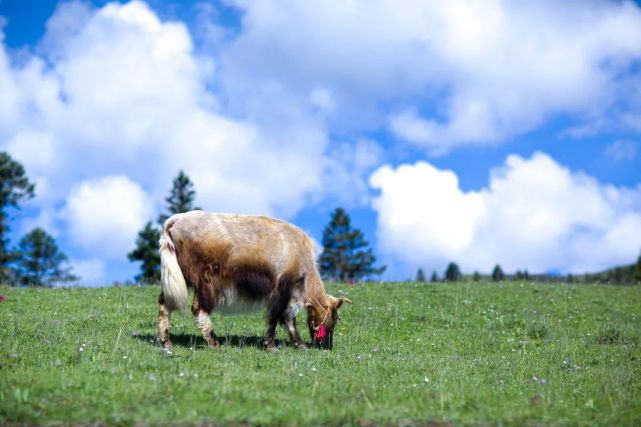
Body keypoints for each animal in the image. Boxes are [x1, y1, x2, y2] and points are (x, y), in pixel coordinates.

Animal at [159, 212, 350, 352]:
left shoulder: (290, 293)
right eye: (333, 319)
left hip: (177, 278)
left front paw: (299, 344)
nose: (327, 346)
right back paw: (214, 342)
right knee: (199, 309)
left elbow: (290, 319)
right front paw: (271, 346)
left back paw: (166, 342)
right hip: (204, 280)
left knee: (164, 303)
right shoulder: (282, 289)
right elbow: (277, 316)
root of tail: (176, 220)